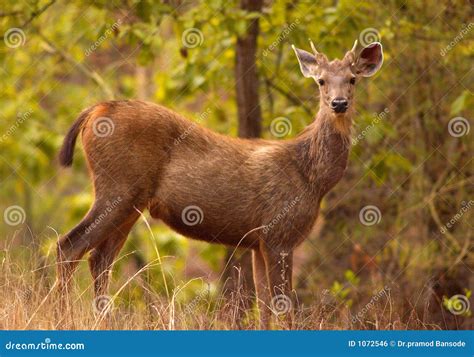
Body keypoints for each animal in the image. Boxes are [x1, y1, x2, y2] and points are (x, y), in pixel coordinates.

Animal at [56, 39, 382, 328]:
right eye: (321, 81)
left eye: (352, 79)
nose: (339, 103)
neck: (312, 178)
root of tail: (94, 110)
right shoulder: (279, 234)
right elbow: (283, 309)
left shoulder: (259, 241)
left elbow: (264, 308)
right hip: (117, 189)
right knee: (68, 246)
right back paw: (66, 319)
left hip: (130, 202)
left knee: (99, 260)